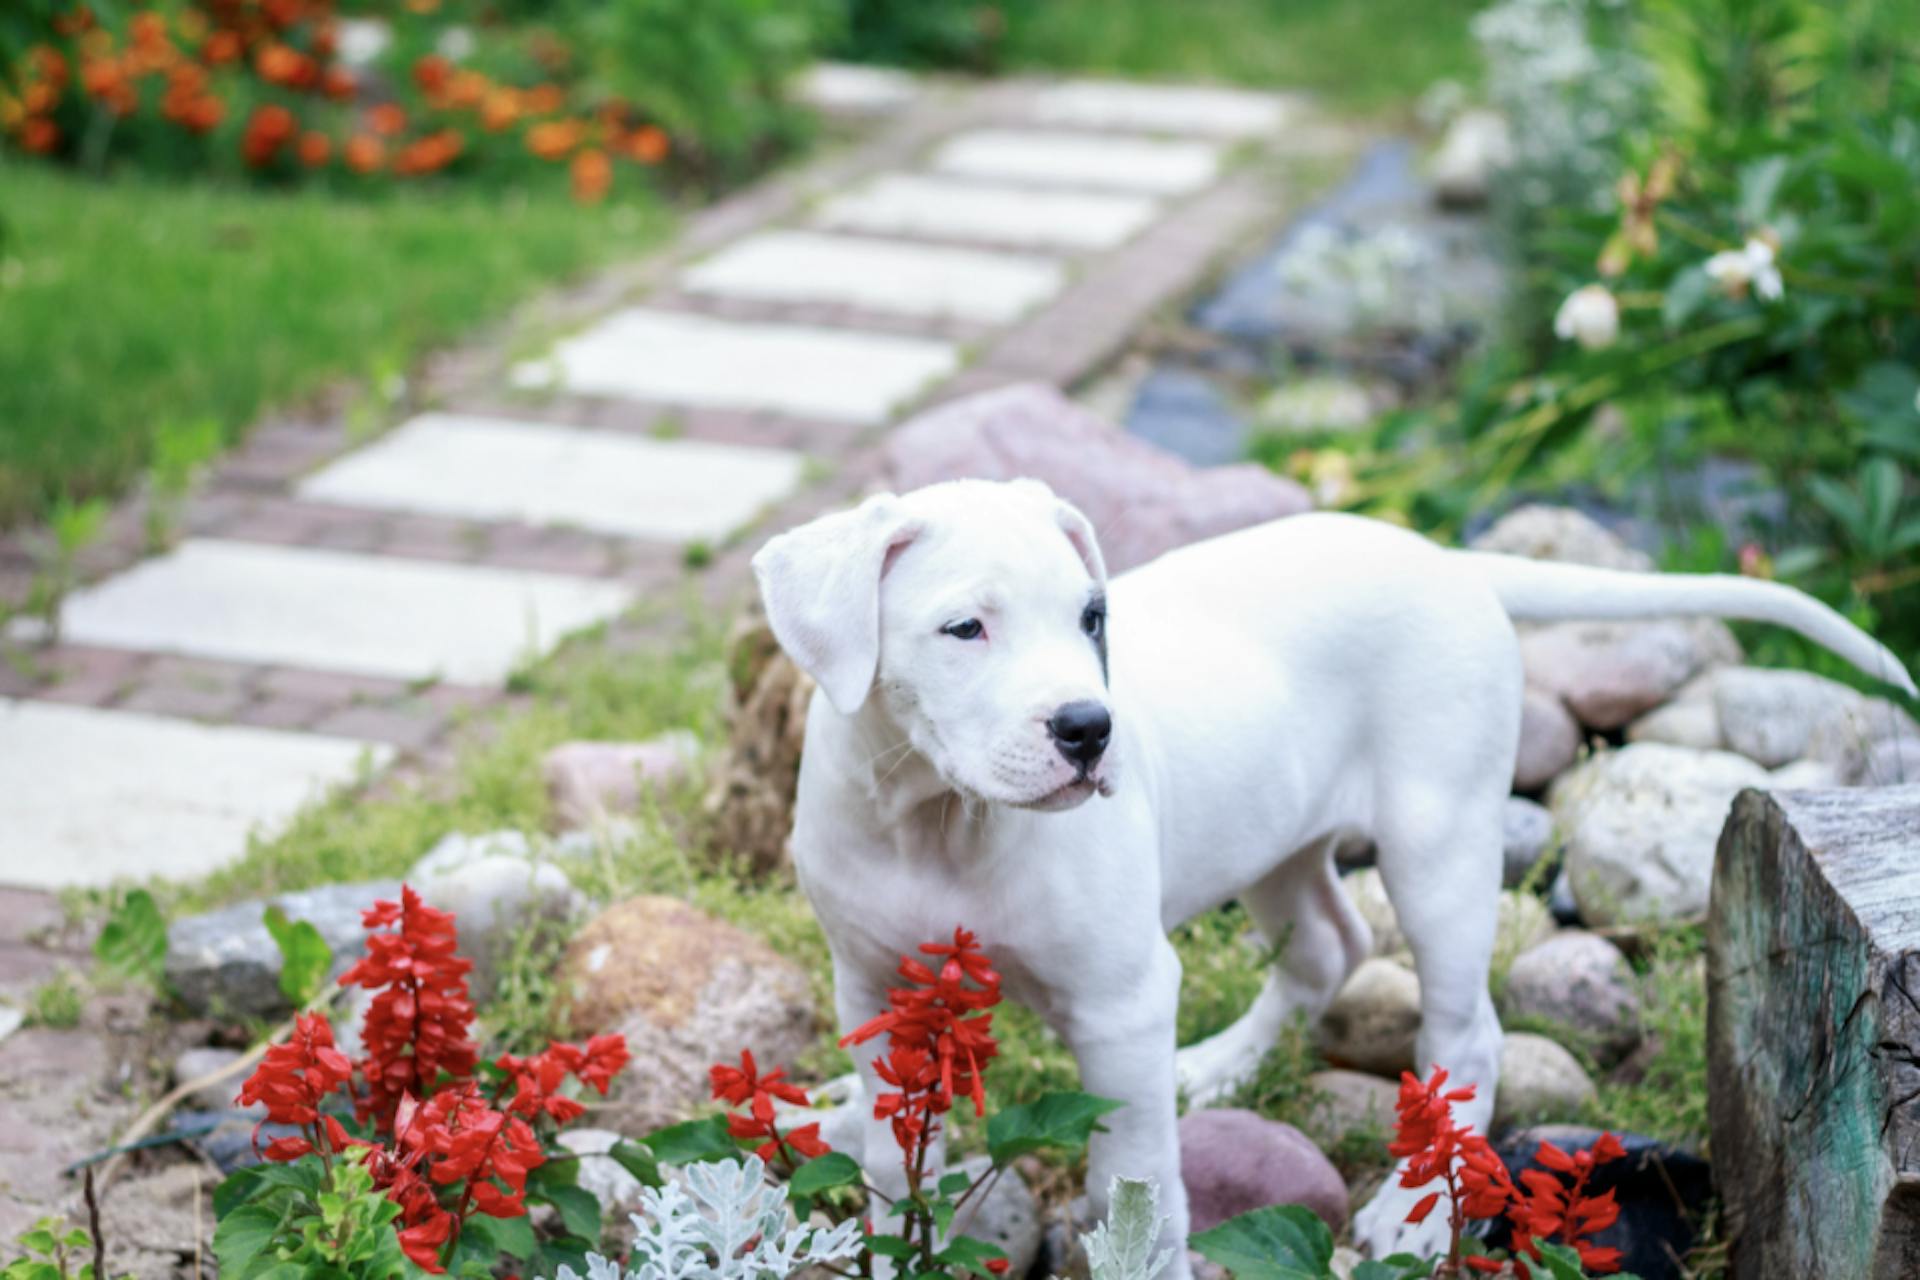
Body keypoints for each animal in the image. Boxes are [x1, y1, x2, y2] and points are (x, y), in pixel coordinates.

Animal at [748, 479, 1904, 1274]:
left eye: (1090, 617)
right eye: (964, 628)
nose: (1089, 729)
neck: (937, 816)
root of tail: (1453, 560)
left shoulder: (1120, 1002)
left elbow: (1134, 1178)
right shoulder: (877, 990)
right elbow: (897, 1155)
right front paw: (894, 1228)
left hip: (1439, 847)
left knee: (1464, 1029)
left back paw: (1408, 1211)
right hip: (1274, 834)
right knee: (1326, 946)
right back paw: (1216, 1069)